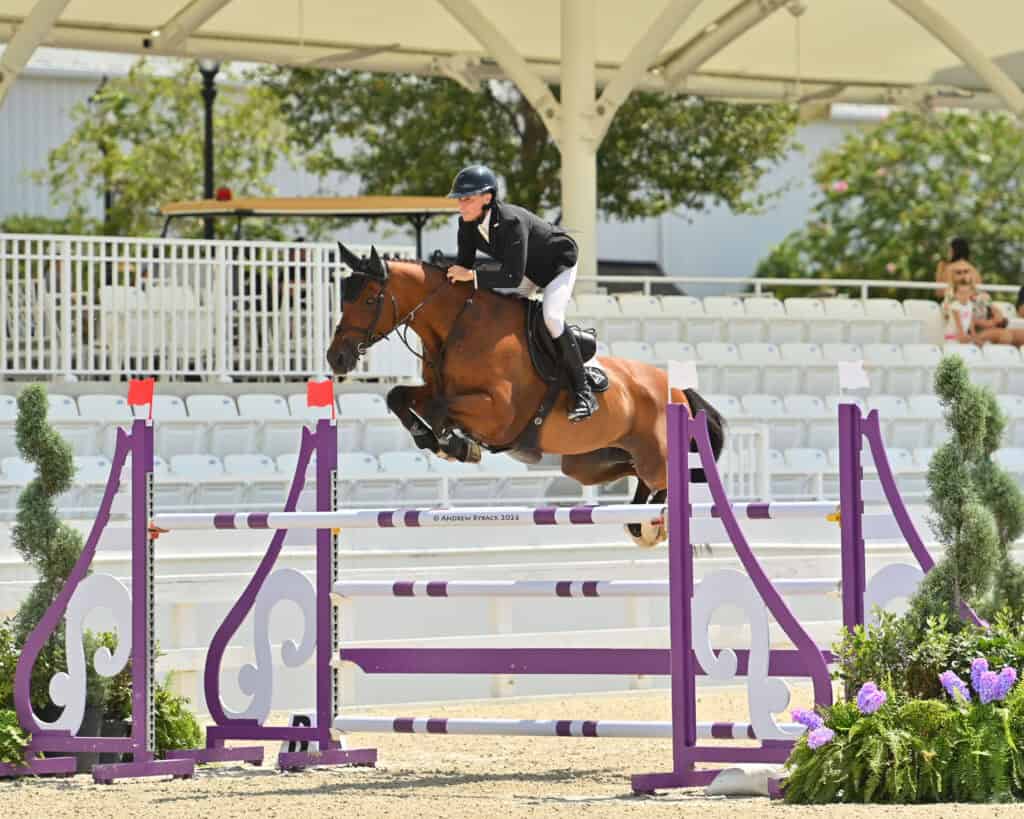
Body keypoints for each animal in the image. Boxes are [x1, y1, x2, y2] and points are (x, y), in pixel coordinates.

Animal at [326, 244, 725, 546]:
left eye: (369, 300)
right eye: (343, 298)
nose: (336, 358)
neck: (457, 327)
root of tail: (678, 389)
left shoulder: (498, 413)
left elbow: (440, 410)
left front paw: (455, 445)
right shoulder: (436, 391)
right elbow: (399, 397)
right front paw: (437, 441)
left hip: (655, 457)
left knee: (671, 478)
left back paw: (656, 521)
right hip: (587, 464)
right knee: (634, 475)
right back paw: (642, 523)